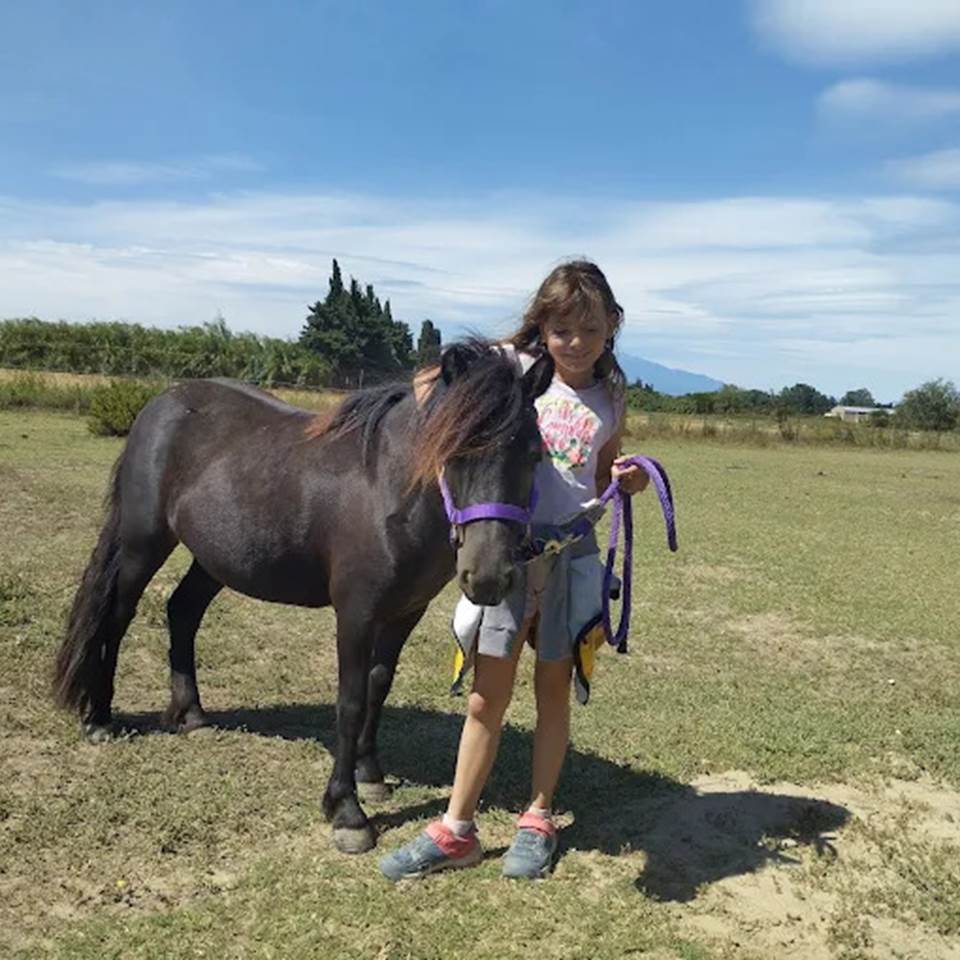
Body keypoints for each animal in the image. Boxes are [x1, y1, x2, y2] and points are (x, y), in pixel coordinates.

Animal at [52, 338, 553, 853]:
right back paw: (100, 718)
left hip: (215, 559)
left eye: (534, 454)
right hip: (142, 545)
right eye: (453, 449)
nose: (488, 576)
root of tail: (161, 404)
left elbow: (378, 684)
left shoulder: (404, 613)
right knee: (117, 618)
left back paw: (190, 712)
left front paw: (370, 773)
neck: (388, 490)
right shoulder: (355, 613)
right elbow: (350, 700)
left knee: (183, 612)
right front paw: (347, 810)